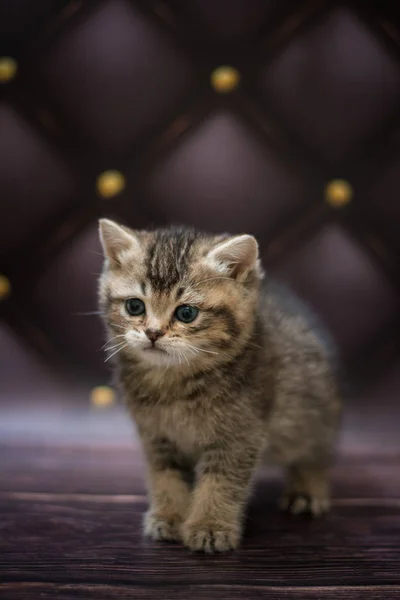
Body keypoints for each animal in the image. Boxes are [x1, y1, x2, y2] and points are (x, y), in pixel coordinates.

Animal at [98, 219, 342, 552]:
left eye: (187, 312)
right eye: (135, 307)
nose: (153, 333)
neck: (174, 384)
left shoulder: (241, 433)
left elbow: (220, 482)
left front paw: (210, 526)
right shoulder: (157, 436)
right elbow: (166, 477)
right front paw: (170, 516)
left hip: (310, 409)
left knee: (315, 450)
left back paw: (307, 488)